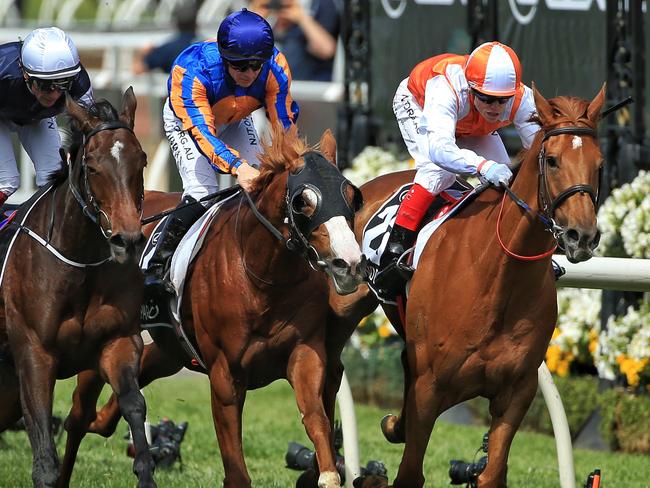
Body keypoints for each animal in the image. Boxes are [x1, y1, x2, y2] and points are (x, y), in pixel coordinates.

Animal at [0, 89, 156, 488]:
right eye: (92, 166)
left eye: (141, 160)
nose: (128, 240)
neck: (78, 262)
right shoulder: (34, 354)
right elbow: (45, 454)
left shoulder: (118, 341)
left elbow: (134, 405)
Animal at [60, 127, 364, 488]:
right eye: (303, 201)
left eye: (352, 196)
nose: (349, 263)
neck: (262, 277)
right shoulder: (224, 375)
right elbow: (236, 472)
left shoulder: (305, 353)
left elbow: (317, 420)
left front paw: (327, 471)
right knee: (77, 418)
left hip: (167, 353)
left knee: (113, 405)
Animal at [330, 86, 608, 486]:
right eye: (553, 161)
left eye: (599, 164)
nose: (581, 236)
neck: (498, 277)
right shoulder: (430, 387)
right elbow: (410, 471)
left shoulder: (517, 391)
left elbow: (492, 472)